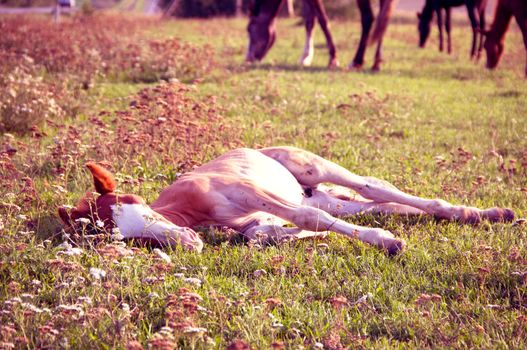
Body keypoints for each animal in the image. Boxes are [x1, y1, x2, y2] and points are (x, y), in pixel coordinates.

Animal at [245, 0, 398, 71]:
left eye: (249, 29)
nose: (249, 59)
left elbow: (321, 19)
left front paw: (332, 59)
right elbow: (310, 19)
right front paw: (306, 57)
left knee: (368, 18)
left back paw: (357, 61)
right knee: (382, 19)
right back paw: (376, 62)